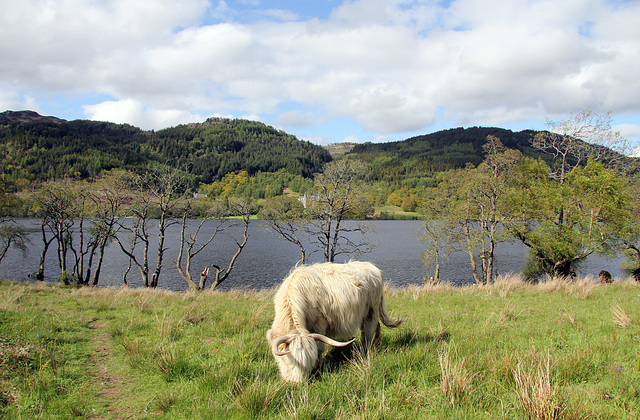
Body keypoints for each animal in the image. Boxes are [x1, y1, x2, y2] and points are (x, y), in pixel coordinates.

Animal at [268, 262, 402, 384]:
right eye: (290, 361)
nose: (297, 383)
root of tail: (373, 267)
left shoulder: (320, 323)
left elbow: (319, 347)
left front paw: (318, 367)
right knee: (374, 329)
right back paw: (375, 347)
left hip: (372, 309)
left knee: (370, 331)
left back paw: (366, 350)